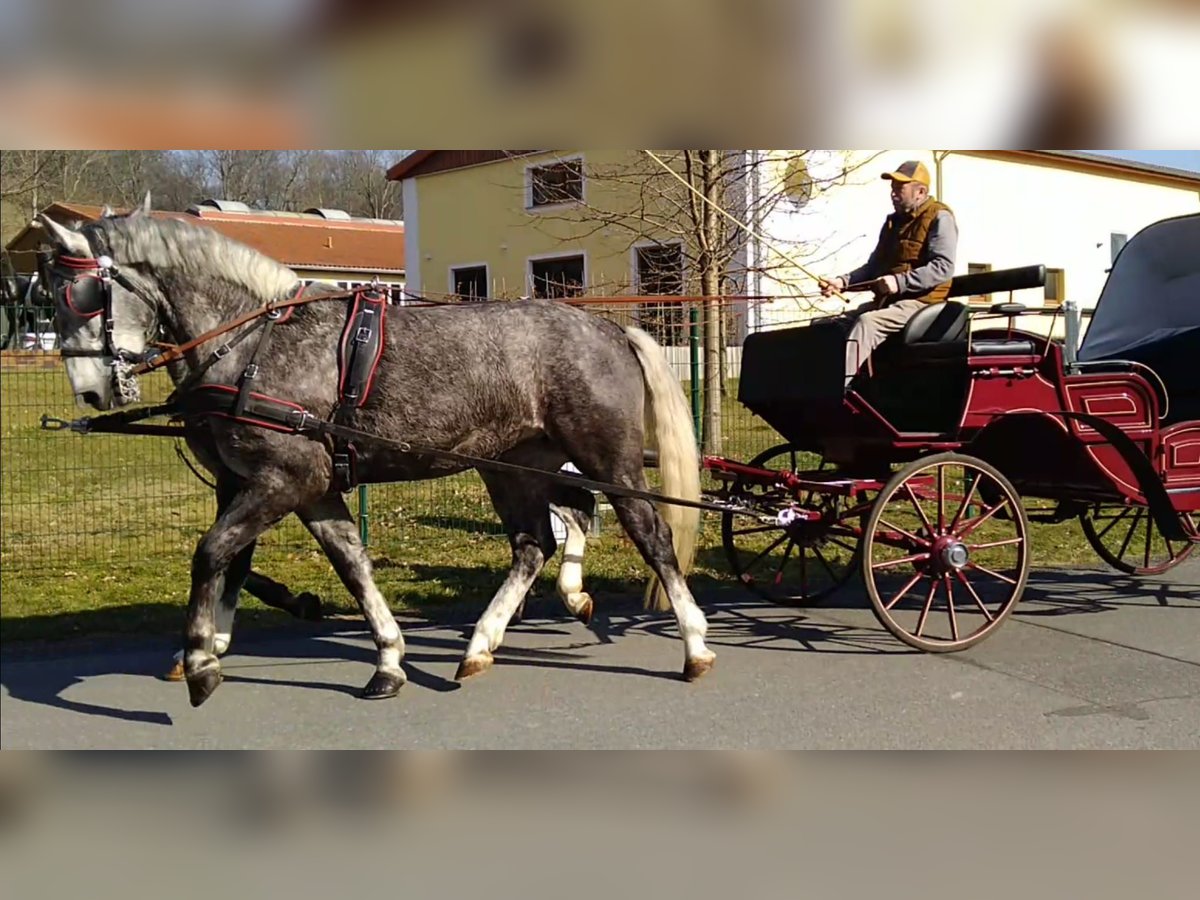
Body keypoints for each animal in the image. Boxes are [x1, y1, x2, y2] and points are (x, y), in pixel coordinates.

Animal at [37, 200, 710, 710]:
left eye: (83, 293)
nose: (90, 391)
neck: (252, 341)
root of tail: (609, 328)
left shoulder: (285, 479)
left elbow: (213, 553)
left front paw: (202, 659)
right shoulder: (280, 485)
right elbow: (333, 564)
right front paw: (386, 659)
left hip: (609, 461)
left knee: (648, 534)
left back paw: (695, 645)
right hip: (515, 465)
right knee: (538, 540)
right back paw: (483, 644)